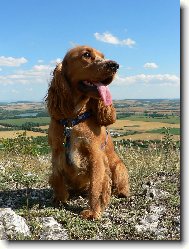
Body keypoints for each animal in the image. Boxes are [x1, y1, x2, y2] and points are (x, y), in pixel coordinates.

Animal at [45, 45, 130, 219]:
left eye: (102, 56)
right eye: (86, 54)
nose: (115, 65)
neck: (73, 120)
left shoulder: (95, 155)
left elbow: (96, 186)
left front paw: (93, 211)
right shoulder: (56, 152)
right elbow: (57, 176)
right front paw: (60, 199)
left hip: (119, 167)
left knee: (119, 184)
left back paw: (120, 193)